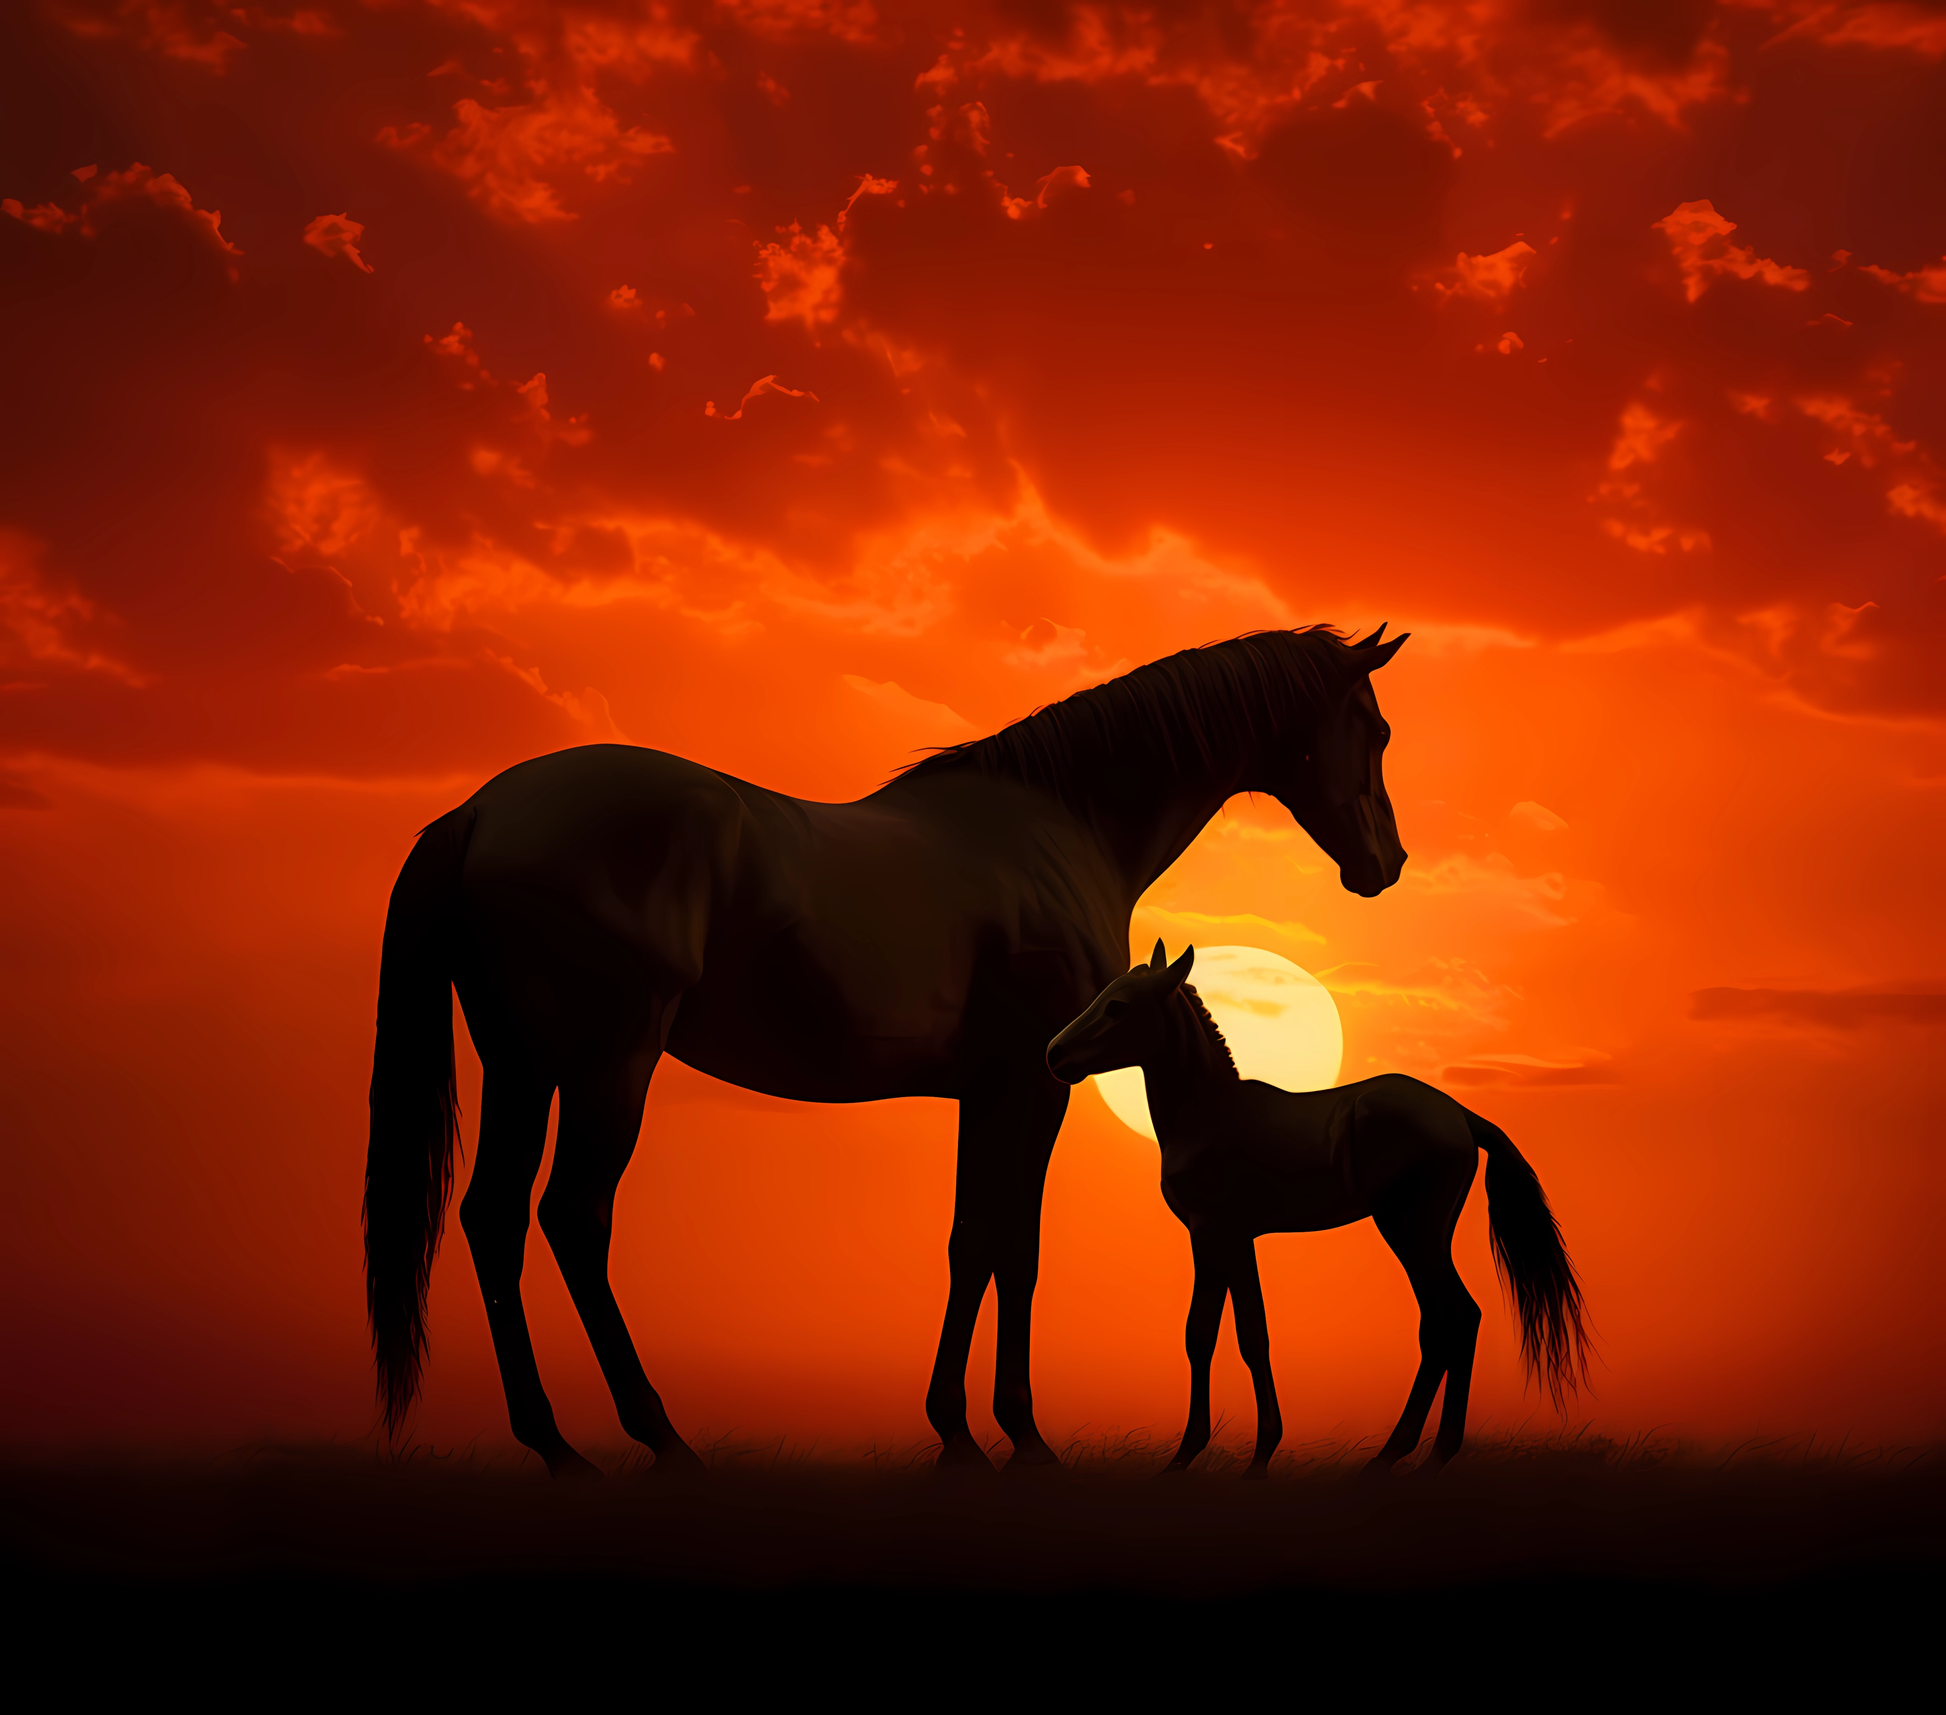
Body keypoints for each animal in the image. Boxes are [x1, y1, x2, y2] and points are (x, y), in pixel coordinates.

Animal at [365, 626, 1409, 1477]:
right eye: (1376, 728)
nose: (1385, 864)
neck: (1058, 825)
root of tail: (481, 812)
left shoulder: (988, 1091)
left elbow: (969, 1241)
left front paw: (958, 1432)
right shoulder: (1034, 1087)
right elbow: (1015, 1246)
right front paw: (1018, 1435)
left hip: (522, 1064)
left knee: (494, 1218)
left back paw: (554, 1444)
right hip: (606, 1065)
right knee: (574, 1219)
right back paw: (660, 1437)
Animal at [1045, 942, 1590, 1477]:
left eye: (1118, 1006)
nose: (1055, 1054)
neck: (1209, 1115)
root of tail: (1459, 1114)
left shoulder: (1211, 1233)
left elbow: (1207, 1334)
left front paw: (1195, 1458)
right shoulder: (1234, 1240)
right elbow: (1245, 1335)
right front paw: (1253, 1453)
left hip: (1410, 1231)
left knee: (1452, 1314)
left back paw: (1413, 1455)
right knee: (1448, 1320)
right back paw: (1408, 1454)